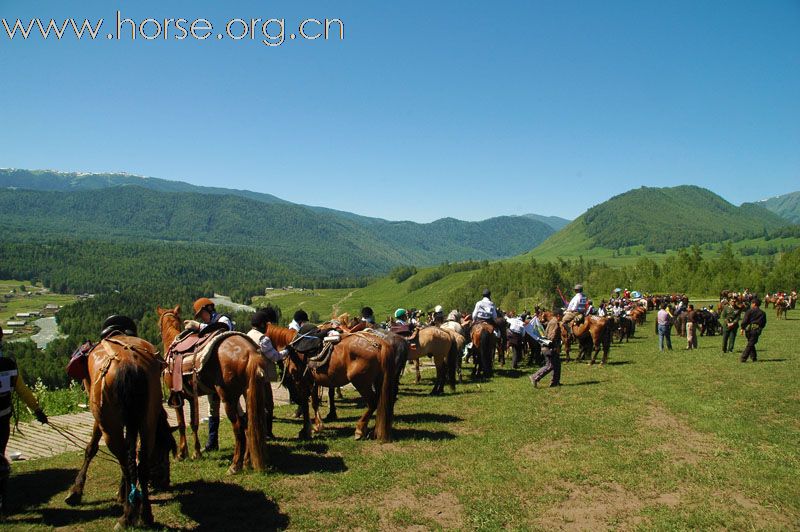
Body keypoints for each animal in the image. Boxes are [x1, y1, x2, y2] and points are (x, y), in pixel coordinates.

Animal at [63, 334, 177, 524]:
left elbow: (91, 448)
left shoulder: (99, 416)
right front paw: (124, 494)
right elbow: (132, 452)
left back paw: (127, 515)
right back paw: (145, 514)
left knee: (124, 462)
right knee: (141, 464)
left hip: (110, 426)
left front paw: (76, 491)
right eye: (163, 449)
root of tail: (129, 364)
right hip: (148, 422)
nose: (164, 481)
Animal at [156, 306, 268, 472]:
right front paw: (196, 452)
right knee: (248, 424)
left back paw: (235, 465)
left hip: (228, 398)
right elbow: (193, 423)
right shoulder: (191, 397)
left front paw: (181, 454)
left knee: (238, 427)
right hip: (246, 394)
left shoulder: (176, 396)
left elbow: (182, 424)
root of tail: (250, 351)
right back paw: (247, 461)